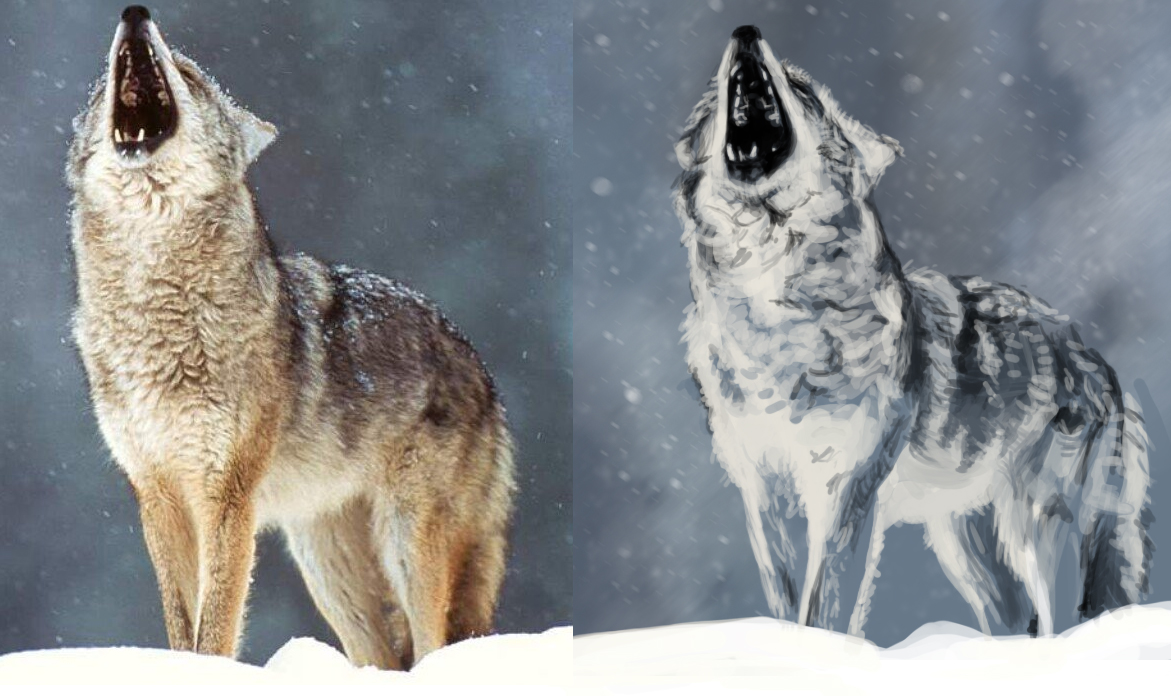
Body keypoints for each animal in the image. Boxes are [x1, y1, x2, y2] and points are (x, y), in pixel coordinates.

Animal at [67, 6, 515, 668]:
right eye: (102, 86)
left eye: (189, 75)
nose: (136, 14)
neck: (157, 316)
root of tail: (480, 368)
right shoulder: (157, 493)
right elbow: (180, 627)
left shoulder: (227, 495)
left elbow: (214, 630)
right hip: (327, 570)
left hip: (407, 545)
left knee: (433, 643)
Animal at [674, 25, 1152, 637]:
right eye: (715, 97)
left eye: (801, 86)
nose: (746, 33)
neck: (772, 316)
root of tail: (1095, 354)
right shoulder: (761, 490)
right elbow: (786, 601)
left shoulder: (847, 492)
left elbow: (824, 607)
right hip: (964, 546)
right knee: (1014, 624)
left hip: (1028, 527)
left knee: (1050, 620)